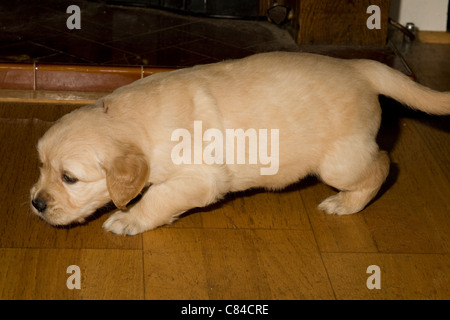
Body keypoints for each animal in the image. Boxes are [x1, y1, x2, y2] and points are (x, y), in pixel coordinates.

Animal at [29, 50, 448, 235]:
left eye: (70, 178)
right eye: (42, 166)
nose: (36, 204)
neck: (126, 119)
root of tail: (360, 67)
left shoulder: (200, 178)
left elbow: (156, 199)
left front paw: (128, 219)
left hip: (340, 162)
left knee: (383, 164)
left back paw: (344, 204)